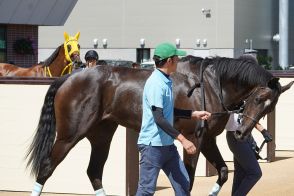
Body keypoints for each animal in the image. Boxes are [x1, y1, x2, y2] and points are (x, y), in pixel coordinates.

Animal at [26, 56, 292, 195]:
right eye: (257, 98)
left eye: (269, 109)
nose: (240, 133)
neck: (208, 85)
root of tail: (69, 77)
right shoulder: (193, 140)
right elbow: (188, 180)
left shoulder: (207, 140)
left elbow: (224, 172)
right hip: (69, 136)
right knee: (47, 168)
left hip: (102, 135)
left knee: (94, 172)